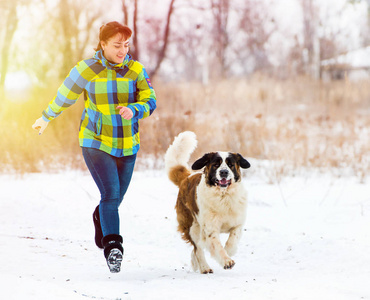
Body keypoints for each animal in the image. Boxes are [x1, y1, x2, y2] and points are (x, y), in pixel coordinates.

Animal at [165, 131, 250, 274]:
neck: (223, 196)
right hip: (192, 227)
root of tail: (186, 178)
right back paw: (204, 267)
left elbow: (233, 238)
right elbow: (216, 245)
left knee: (195, 250)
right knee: (197, 249)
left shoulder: (237, 222)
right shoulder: (210, 228)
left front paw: (229, 252)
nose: (223, 172)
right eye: (216, 165)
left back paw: (196, 264)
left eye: (230, 165)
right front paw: (226, 261)